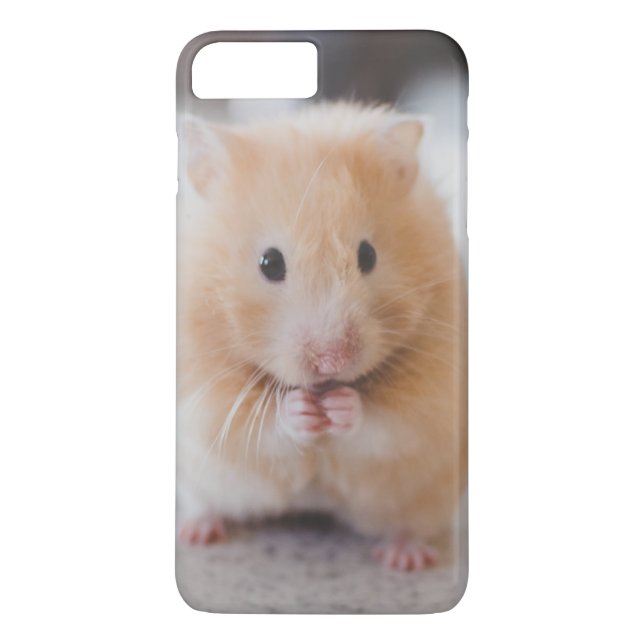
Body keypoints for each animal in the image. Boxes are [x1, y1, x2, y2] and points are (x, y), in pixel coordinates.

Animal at [176, 103, 466, 571]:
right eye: (269, 263)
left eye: (368, 255)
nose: (333, 361)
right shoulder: (205, 399)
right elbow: (259, 426)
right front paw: (303, 411)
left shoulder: (434, 401)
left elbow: (386, 424)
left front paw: (341, 407)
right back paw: (197, 533)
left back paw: (406, 558)